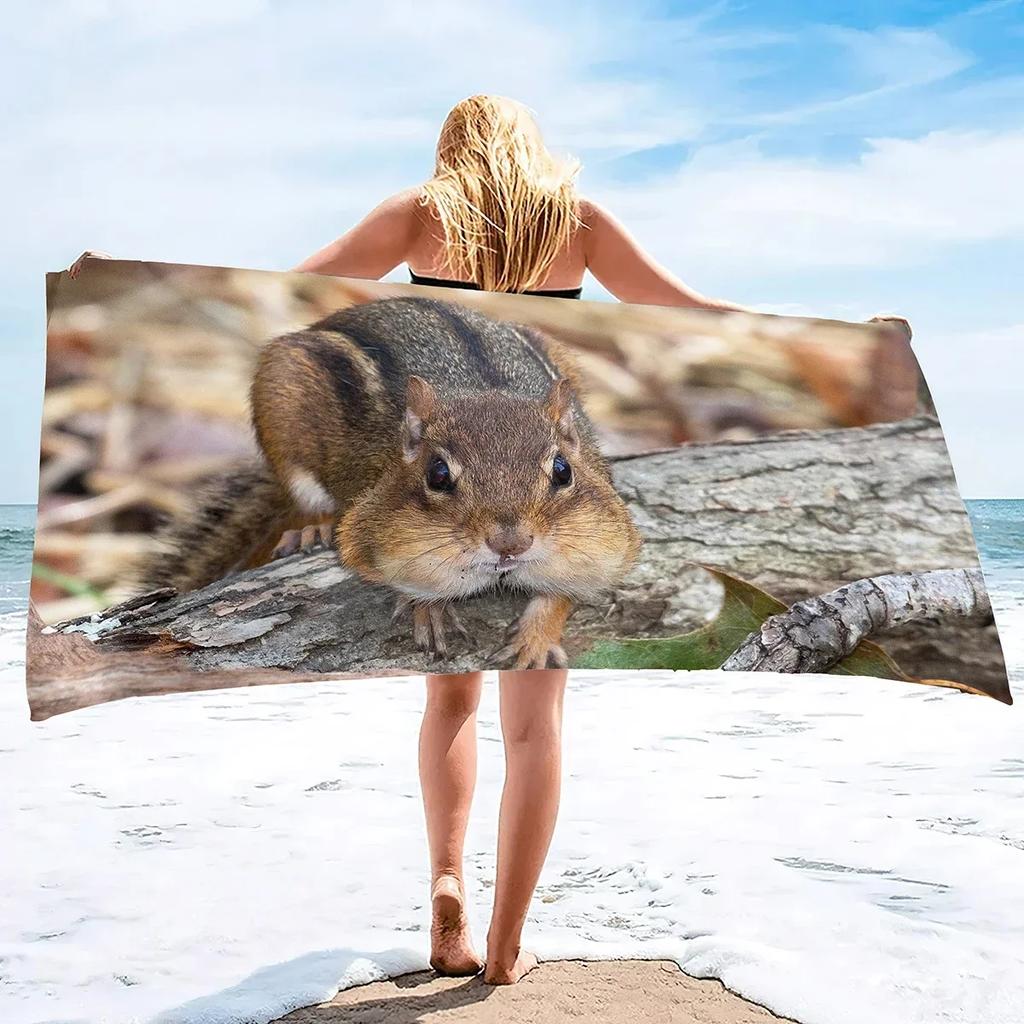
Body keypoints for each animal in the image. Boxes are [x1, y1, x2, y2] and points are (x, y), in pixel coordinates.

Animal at [141, 296, 642, 669]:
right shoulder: (368, 529)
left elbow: (563, 593)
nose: (510, 544)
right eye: (438, 475)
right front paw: (428, 608)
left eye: (563, 470)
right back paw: (312, 527)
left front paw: (535, 640)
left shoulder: (604, 545)